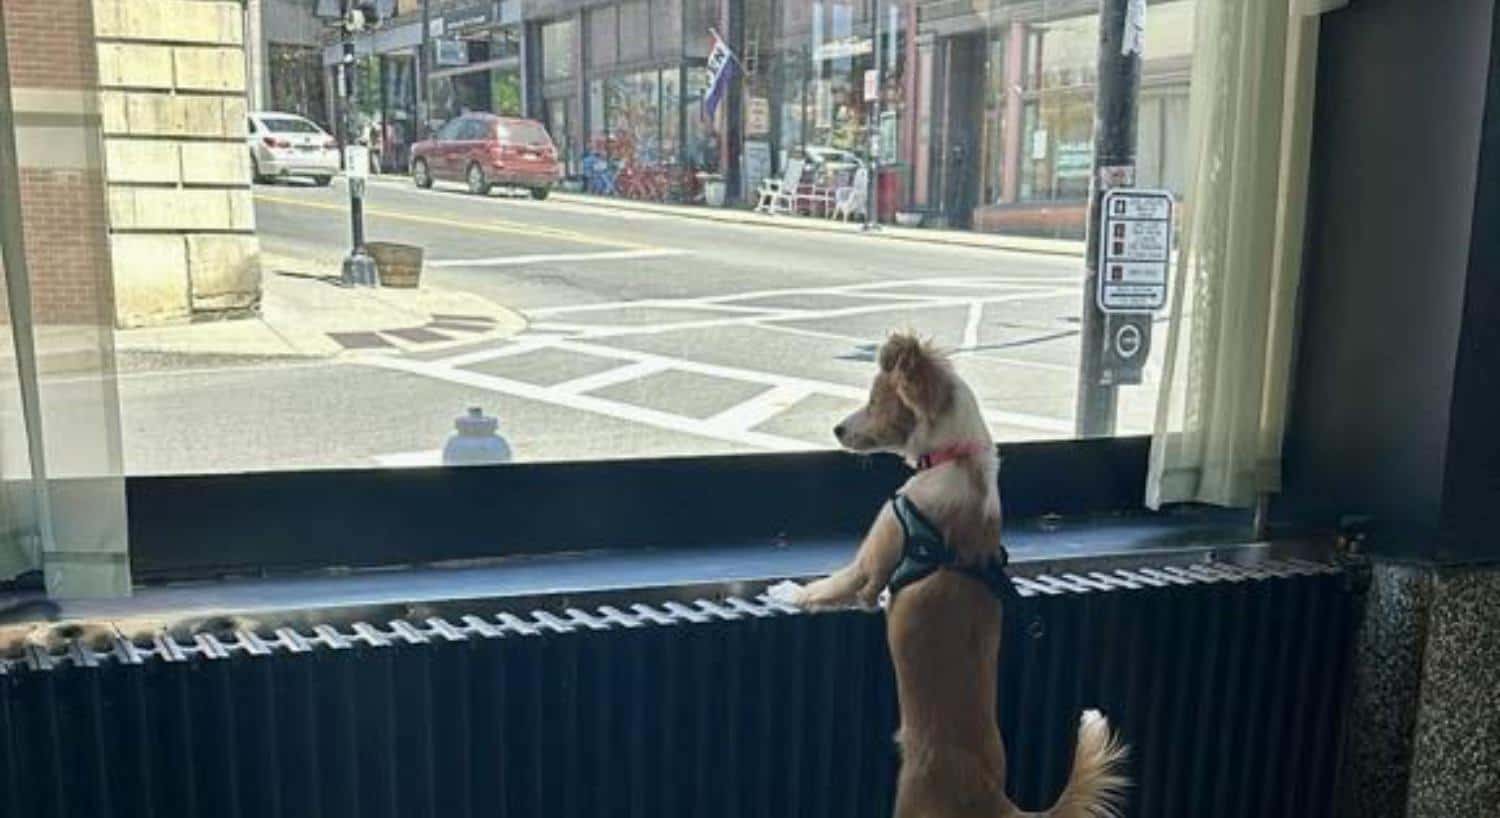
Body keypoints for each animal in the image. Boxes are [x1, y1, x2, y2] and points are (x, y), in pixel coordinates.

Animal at [774, 331, 1128, 816]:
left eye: (875, 400)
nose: (837, 430)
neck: (955, 460)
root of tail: (993, 796)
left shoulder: (870, 567)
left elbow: (829, 586)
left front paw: (785, 591)